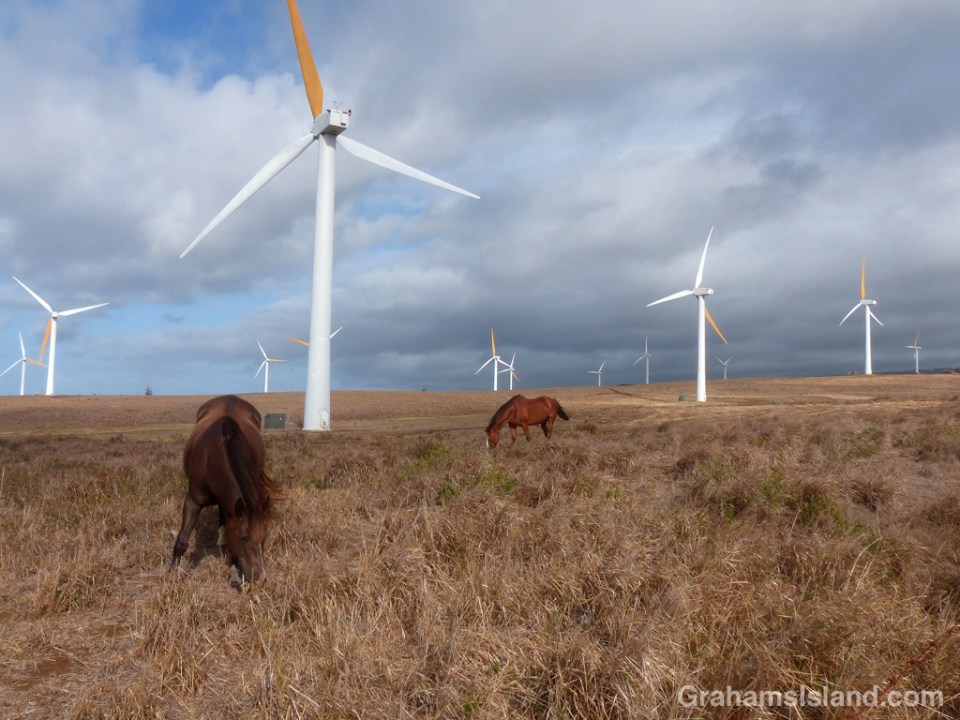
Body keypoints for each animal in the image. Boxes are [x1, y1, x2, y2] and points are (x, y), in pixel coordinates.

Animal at [171, 395, 277, 586]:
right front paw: (172, 574)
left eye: (265, 536)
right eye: (243, 538)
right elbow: (182, 540)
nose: (258, 576)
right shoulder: (193, 501)